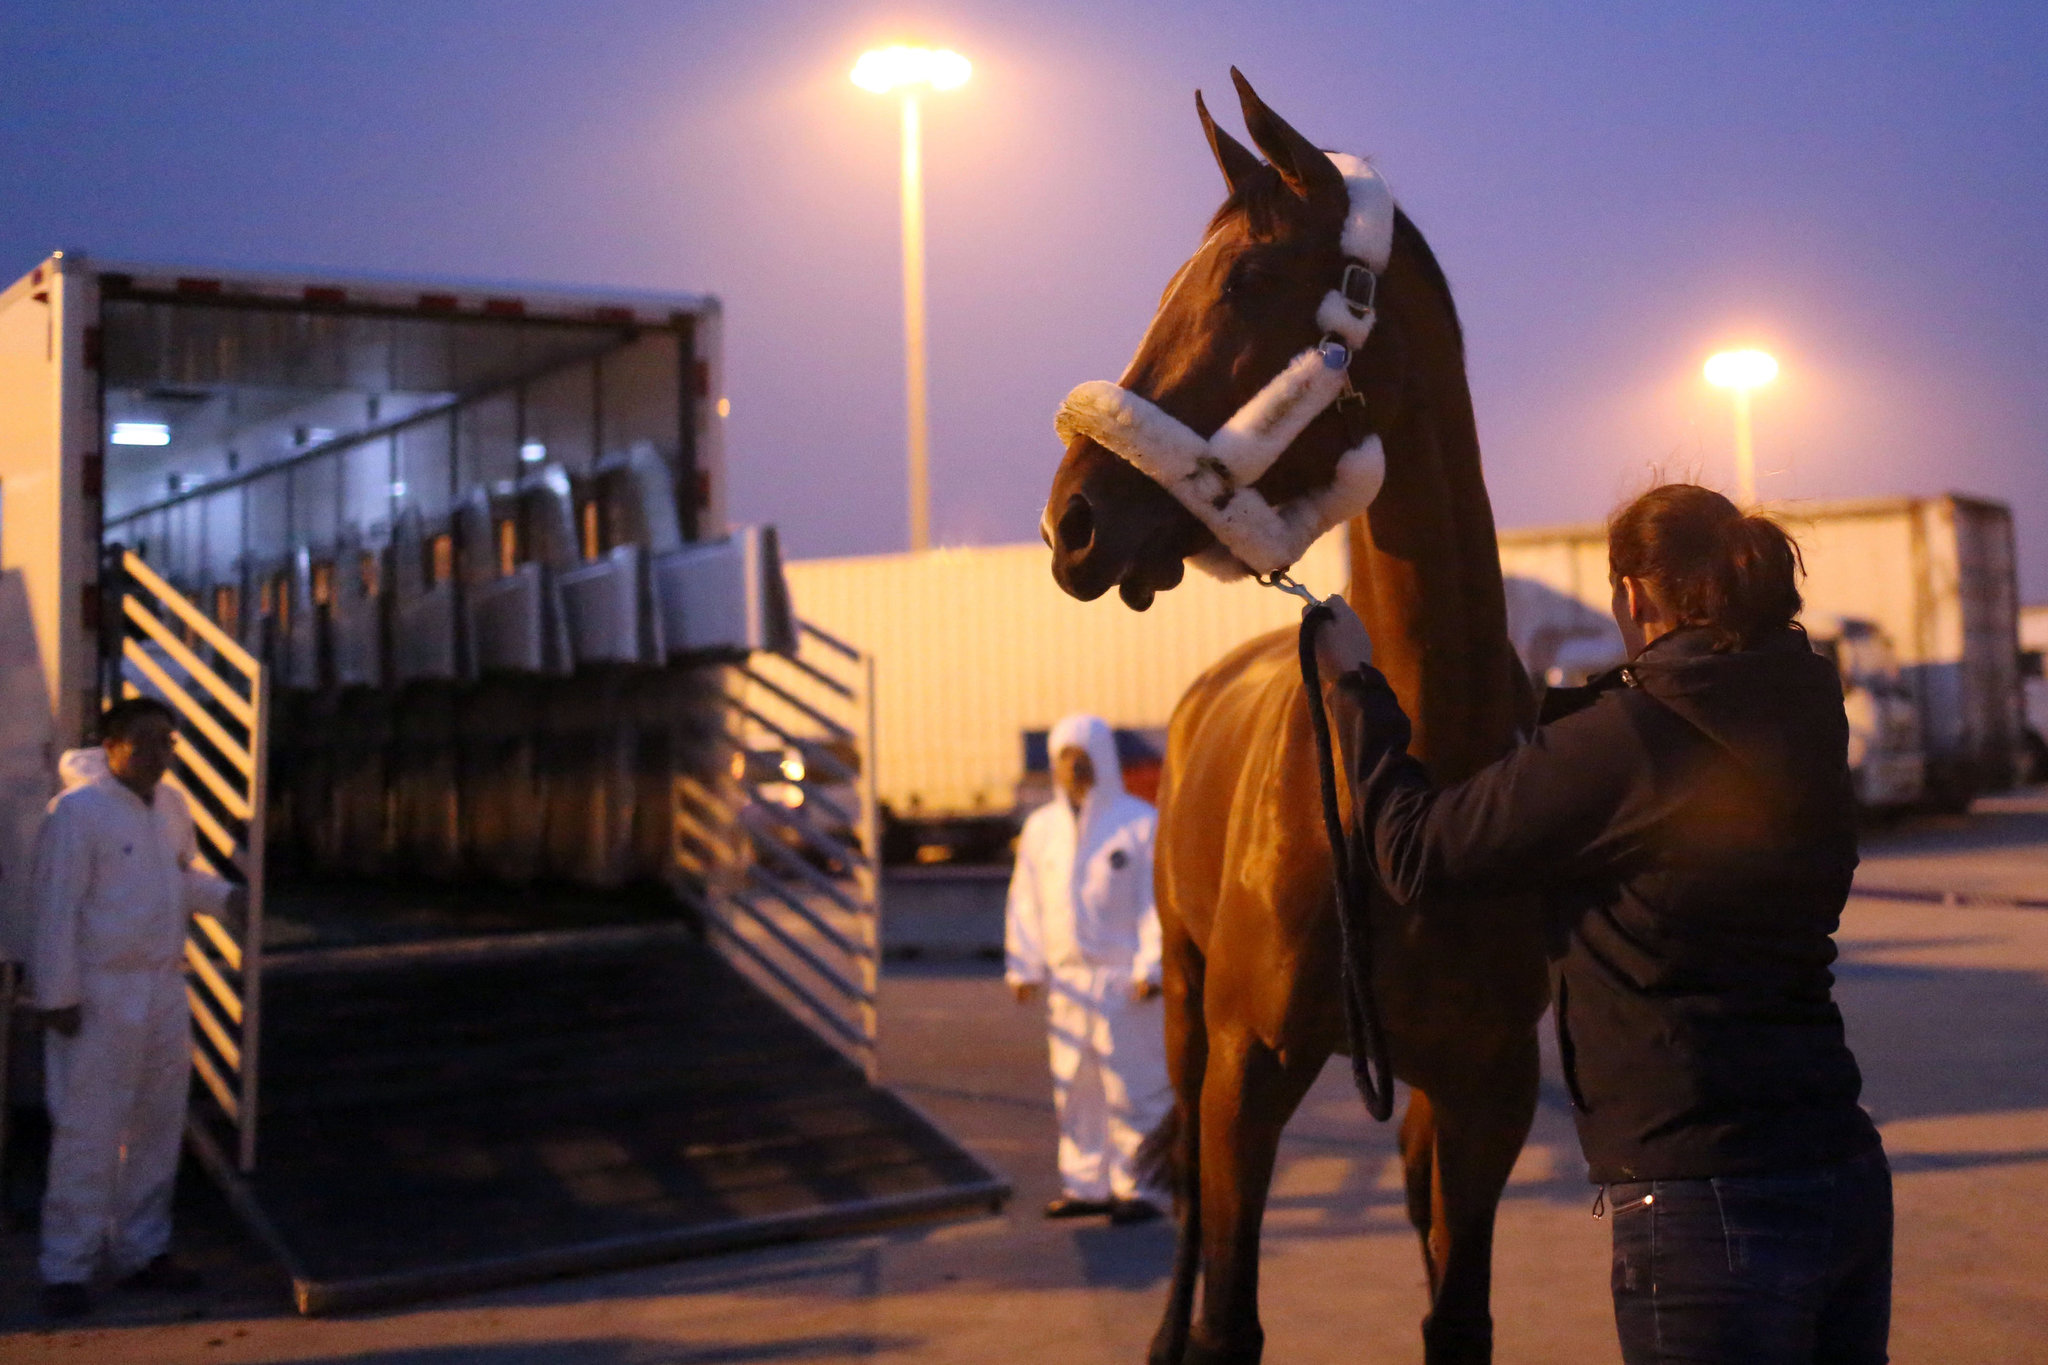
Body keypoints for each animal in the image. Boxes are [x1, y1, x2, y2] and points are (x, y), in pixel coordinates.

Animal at [1048, 74, 1540, 1365]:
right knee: (1182, 1208)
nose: (1070, 521)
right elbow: (1232, 1314)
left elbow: (1456, 1315)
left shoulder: (1486, 1091)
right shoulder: (1246, 1073)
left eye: (1244, 282)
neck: (1416, 779)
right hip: (1180, 1006)